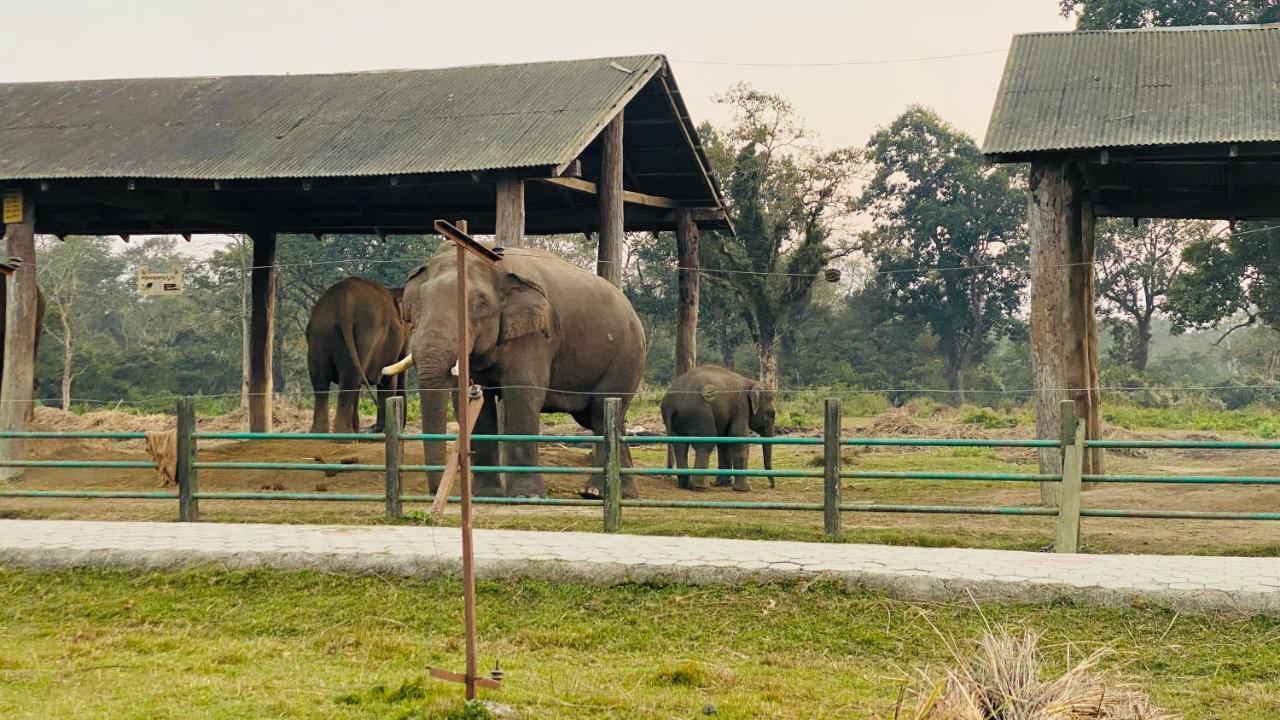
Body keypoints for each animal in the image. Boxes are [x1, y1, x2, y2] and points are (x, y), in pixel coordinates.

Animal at [304, 274, 404, 430]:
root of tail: (345, 305)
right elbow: (388, 380)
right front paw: (380, 430)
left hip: (320, 334)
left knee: (321, 379)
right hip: (366, 337)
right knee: (349, 380)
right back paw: (344, 433)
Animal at [376, 243, 640, 497]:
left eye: (480, 304)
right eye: (421, 303)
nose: (435, 492)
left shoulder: (533, 336)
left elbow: (522, 393)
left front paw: (526, 497)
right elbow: (472, 401)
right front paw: (485, 494)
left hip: (625, 357)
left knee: (600, 411)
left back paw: (595, 492)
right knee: (606, 416)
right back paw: (619, 492)